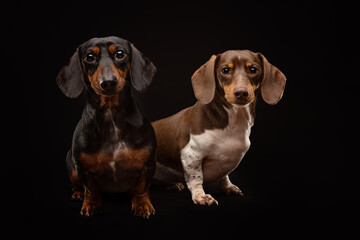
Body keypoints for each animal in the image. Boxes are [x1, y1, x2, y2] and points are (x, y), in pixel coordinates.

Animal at [56, 36, 156, 218]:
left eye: (120, 54)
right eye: (89, 57)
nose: (108, 82)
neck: (111, 117)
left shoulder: (148, 164)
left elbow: (141, 187)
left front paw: (142, 205)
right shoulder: (82, 168)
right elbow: (91, 189)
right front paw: (91, 205)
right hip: (71, 166)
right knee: (77, 185)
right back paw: (78, 193)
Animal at [152, 49, 286, 205]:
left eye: (253, 69)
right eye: (225, 70)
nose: (241, 92)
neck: (233, 124)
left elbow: (225, 176)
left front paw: (228, 187)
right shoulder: (191, 155)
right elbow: (196, 178)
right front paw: (201, 196)